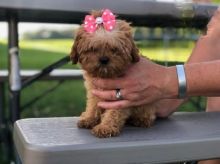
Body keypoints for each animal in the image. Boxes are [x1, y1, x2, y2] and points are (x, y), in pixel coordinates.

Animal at [69, 9, 156, 138]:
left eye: (115, 49)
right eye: (93, 49)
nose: (104, 59)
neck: (105, 75)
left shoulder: (122, 97)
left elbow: (114, 113)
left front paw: (106, 127)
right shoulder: (94, 91)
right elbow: (93, 105)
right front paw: (89, 118)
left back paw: (141, 120)